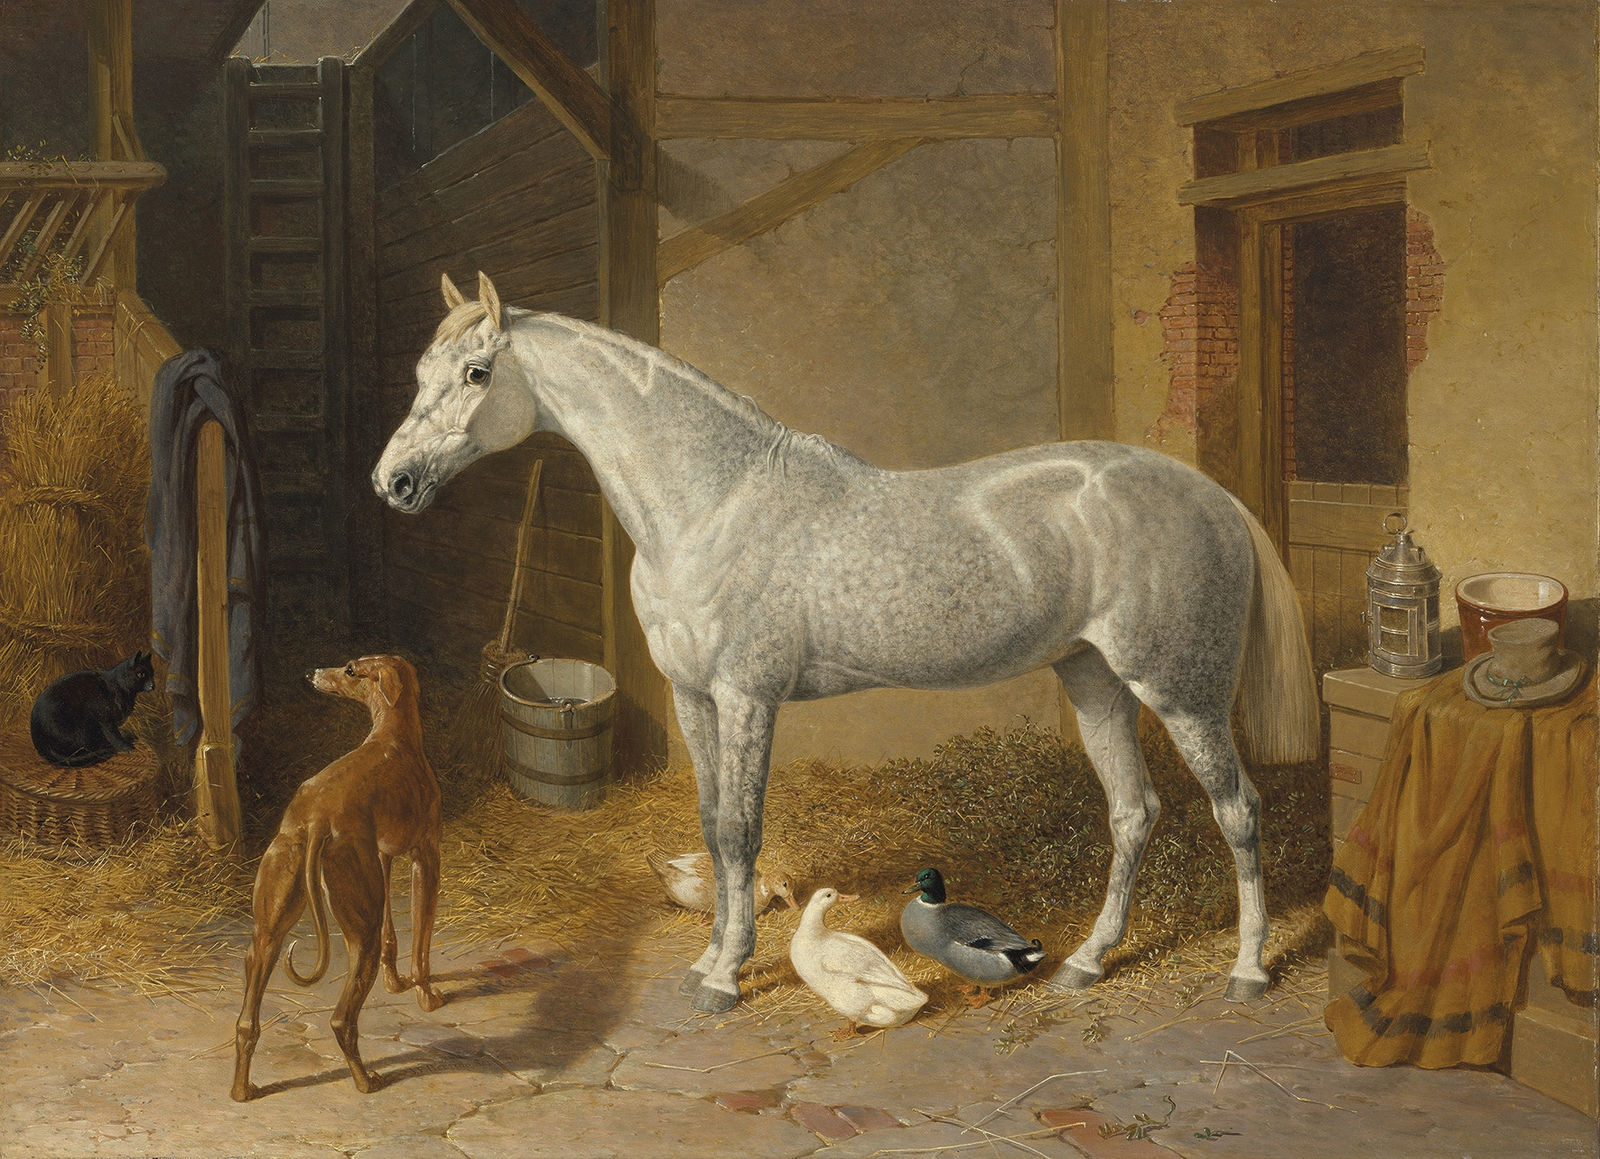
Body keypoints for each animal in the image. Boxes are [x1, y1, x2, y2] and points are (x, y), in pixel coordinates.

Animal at [374, 271, 1319, 1014]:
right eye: (419, 373)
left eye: (478, 372)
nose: (393, 481)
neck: (714, 500)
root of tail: (1212, 495)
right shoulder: (693, 695)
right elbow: (711, 825)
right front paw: (710, 954)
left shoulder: (747, 696)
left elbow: (742, 830)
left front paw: (725, 978)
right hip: (1093, 679)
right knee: (1133, 811)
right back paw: (1087, 961)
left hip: (1182, 691)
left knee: (1238, 810)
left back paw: (1247, 969)